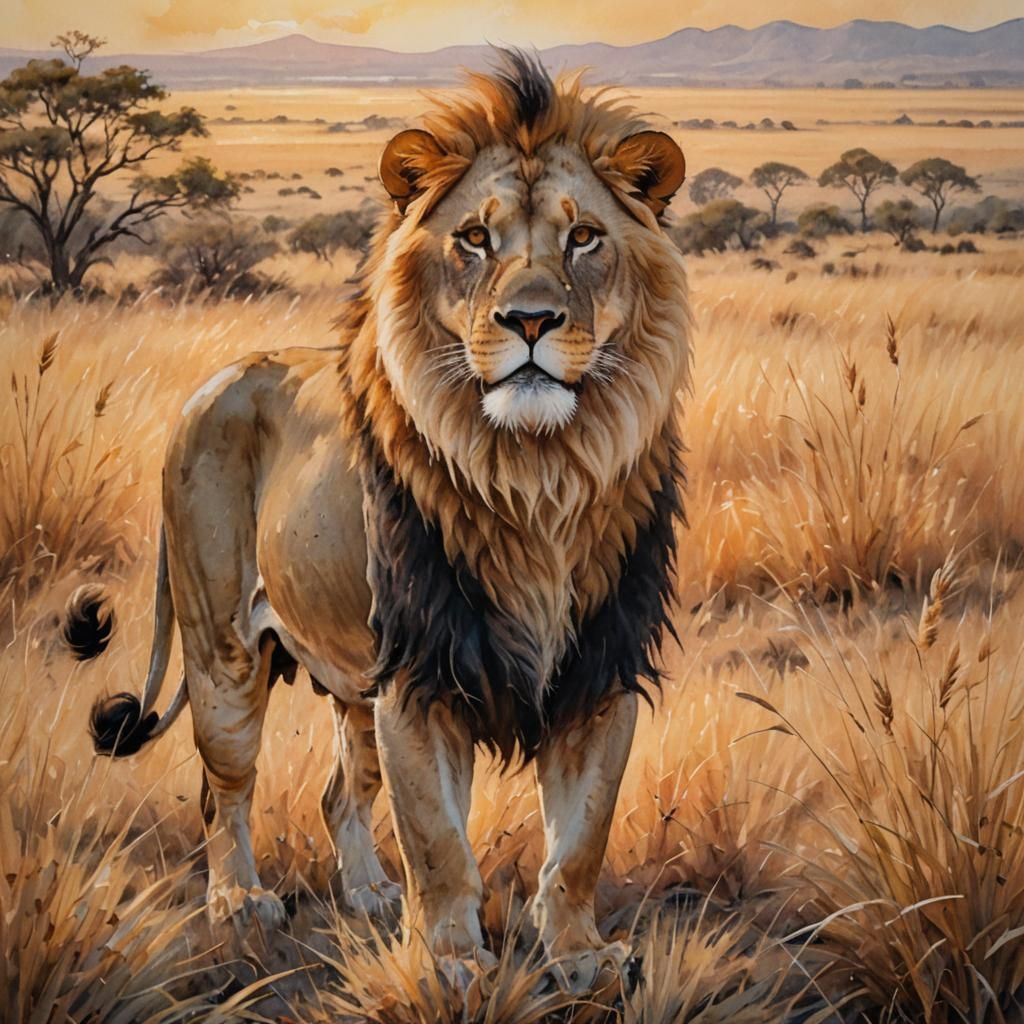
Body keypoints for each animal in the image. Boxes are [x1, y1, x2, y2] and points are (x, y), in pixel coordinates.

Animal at [88, 50, 690, 991]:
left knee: (339, 793)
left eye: (584, 238)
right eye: (474, 239)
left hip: (350, 686)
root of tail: (211, 382)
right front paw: (454, 963)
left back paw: (368, 895)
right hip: (223, 653)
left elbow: (579, 843)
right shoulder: (418, 675)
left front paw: (583, 958)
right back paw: (239, 903)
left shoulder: (600, 673)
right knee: (222, 790)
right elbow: (438, 841)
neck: (537, 477)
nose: (530, 319)